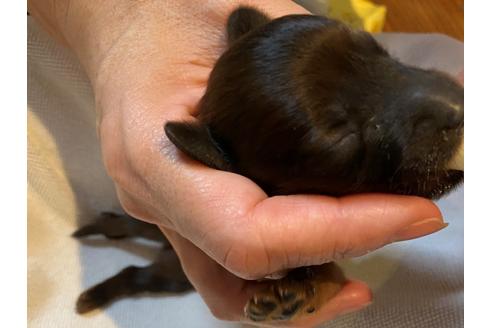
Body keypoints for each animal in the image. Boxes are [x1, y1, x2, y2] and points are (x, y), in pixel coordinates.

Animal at [73, 6, 462, 324]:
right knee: (135, 273)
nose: (458, 110)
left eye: (380, 52)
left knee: (138, 226)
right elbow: (322, 273)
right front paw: (299, 292)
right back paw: (94, 294)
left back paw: (107, 225)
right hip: (173, 276)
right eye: (344, 143)